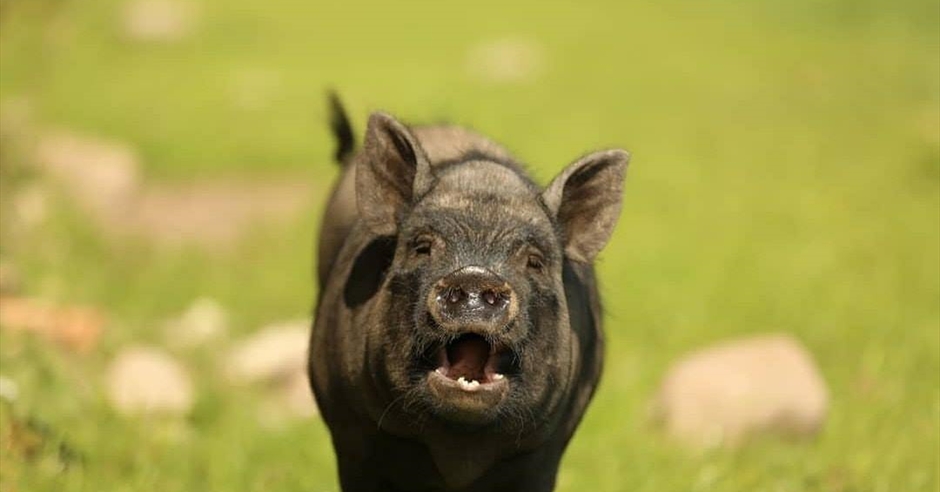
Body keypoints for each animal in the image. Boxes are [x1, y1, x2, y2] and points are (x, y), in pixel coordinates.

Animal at [310, 94, 632, 490]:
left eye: (535, 262)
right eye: (422, 247)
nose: (476, 274)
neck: (459, 456)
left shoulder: (547, 447)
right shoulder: (350, 434)